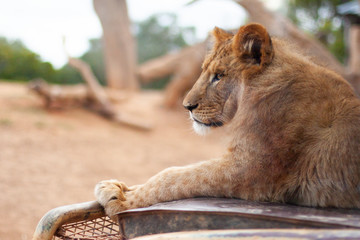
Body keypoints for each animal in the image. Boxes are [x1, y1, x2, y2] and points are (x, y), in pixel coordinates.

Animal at [94, 23, 358, 217]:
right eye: (204, 71)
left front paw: (121, 198)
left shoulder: (252, 169)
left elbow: (174, 176)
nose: (186, 106)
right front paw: (123, 187)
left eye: (219, 76)